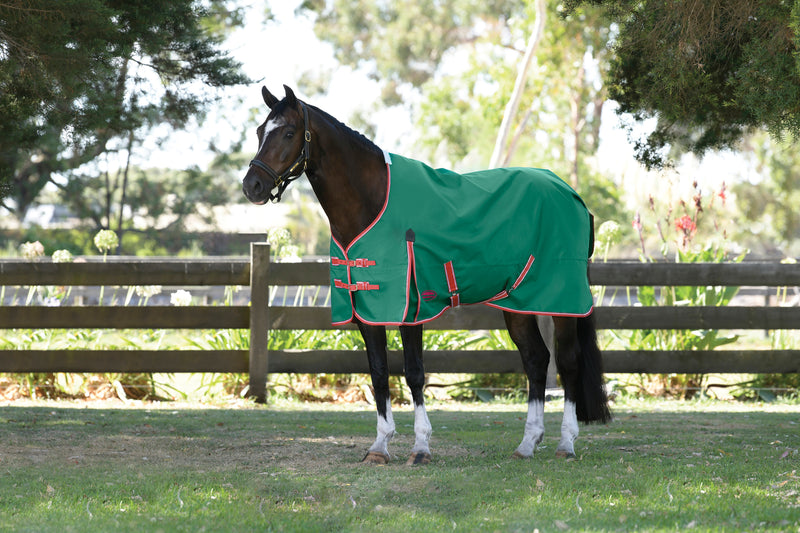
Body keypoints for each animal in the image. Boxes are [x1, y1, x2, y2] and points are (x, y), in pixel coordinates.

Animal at [242, 85, 611, 465]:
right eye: (259, 132)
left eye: (288, 132)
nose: (252, 186)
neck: (372, 204)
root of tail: (570, 193)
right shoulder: (367, 311)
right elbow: (378, 373)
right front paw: (379, 446)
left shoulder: (410, 309)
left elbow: (414, 374)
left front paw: (420, 447)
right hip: (518, 303)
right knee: (536, 361)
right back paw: (527, 444)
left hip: (562, 302)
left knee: (567, 363)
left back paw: (566, 443)